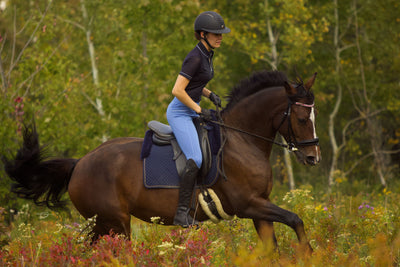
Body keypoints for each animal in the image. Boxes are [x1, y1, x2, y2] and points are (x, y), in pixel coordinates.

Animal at [3, 70, 320, 252]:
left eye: (313, 116)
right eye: (303, 119)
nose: (313, 157)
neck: (242, 140)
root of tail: (80, 163)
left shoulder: (259, 209)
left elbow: (274, 248)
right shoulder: (248, 204)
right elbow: (296, 220)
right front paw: (309, 255)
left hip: (103, 225)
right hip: (116, 223)